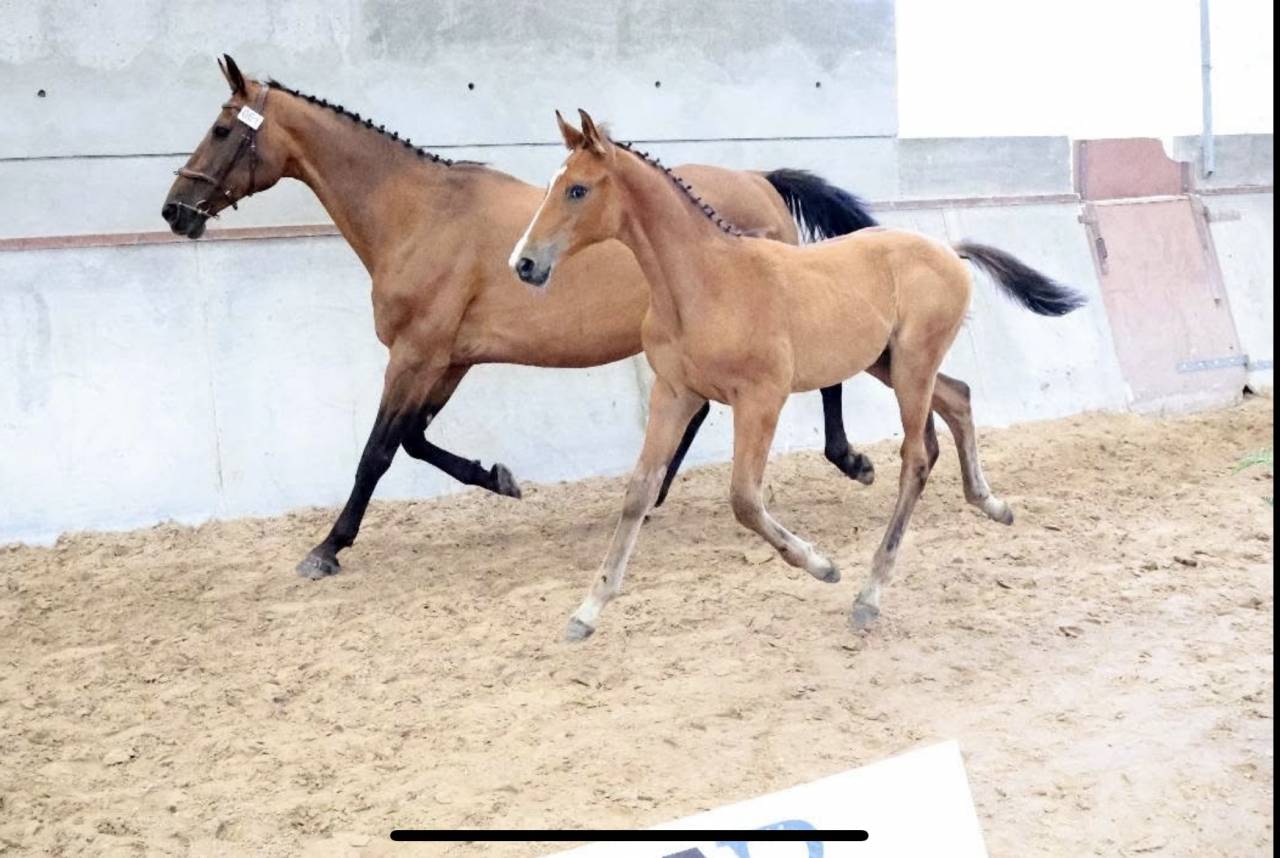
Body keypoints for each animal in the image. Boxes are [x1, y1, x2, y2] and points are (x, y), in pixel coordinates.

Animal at [161, 55, 884, 580]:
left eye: (221, 129)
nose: (175, 209)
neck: (420, 214)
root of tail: (761, 180)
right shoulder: (450, 359)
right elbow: (415, 440)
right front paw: (498, 478)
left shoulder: (415, 353)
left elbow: (378, 451)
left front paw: (327, 548)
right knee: (705, 410)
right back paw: (653, 500)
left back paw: (851, 461)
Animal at [511, 111, 1087, 641]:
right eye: (554, 185)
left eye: (578, 189)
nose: (523, 263)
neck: (705, 283)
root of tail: (947, 250)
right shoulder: (673, 394)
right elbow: (638, 493)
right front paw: (587, 611)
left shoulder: (760, 398)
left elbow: (744, 499)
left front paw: (823, 565)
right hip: (888, 362)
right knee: (959, 398)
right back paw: (992, 504)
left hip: (913, 363)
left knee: (918, 457)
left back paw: (869, 594)